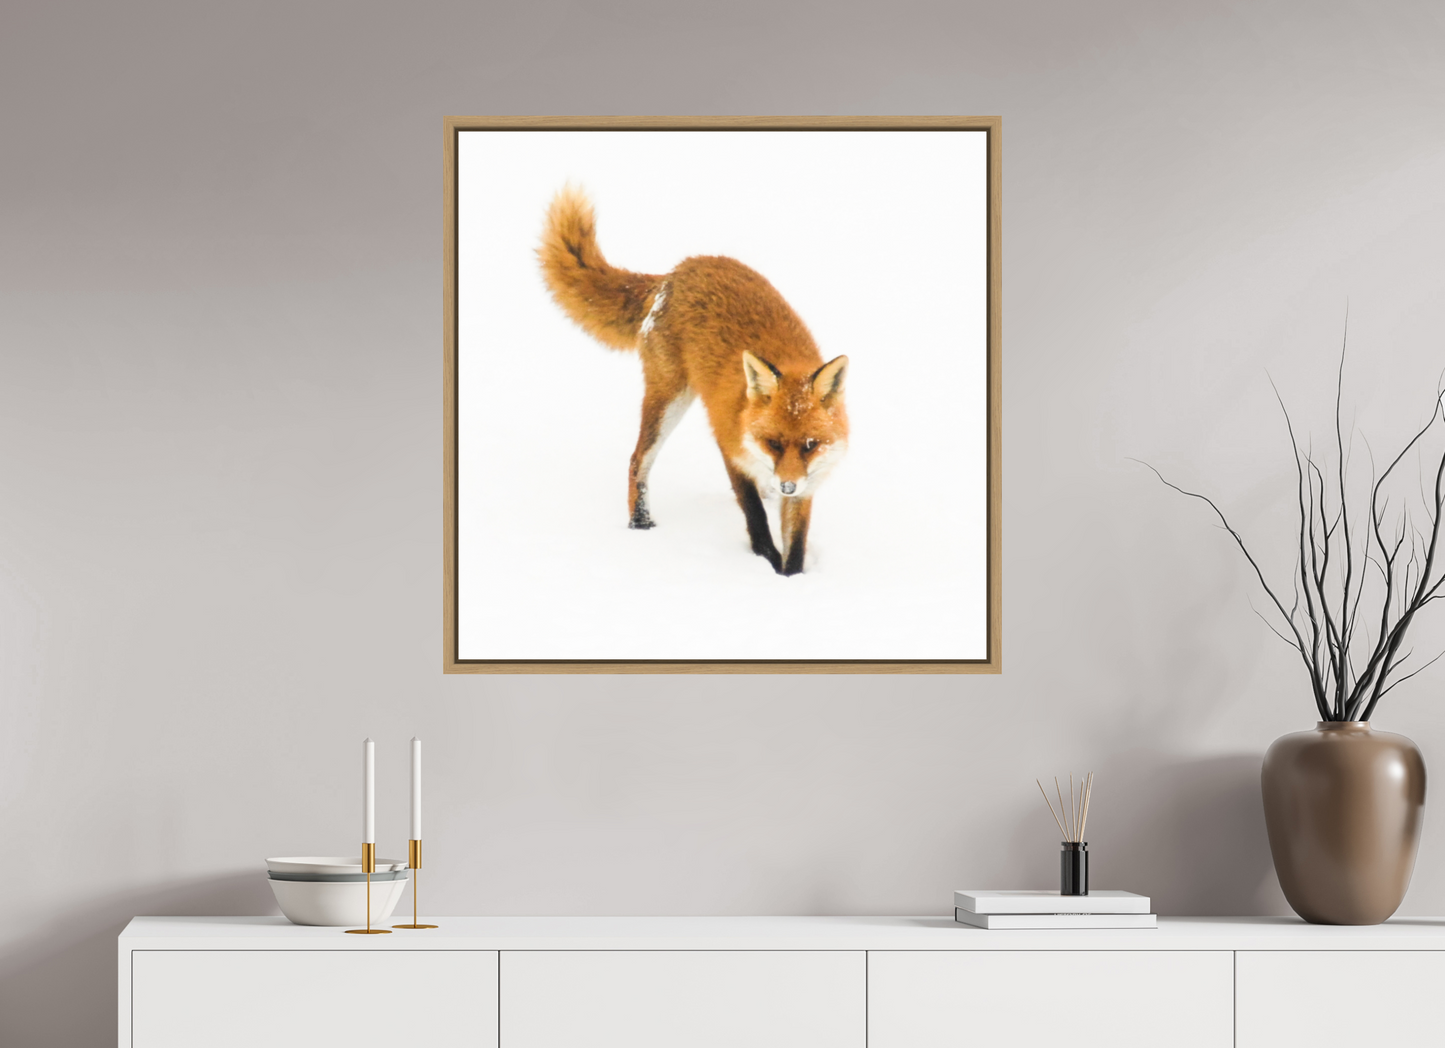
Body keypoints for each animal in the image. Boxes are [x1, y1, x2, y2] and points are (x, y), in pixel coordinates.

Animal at [537, 186, 849, 576]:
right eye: (773, 443)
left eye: (810, 444)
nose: (787, 485)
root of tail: (676, 272)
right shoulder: (729, 447)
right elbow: (756, 518)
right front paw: (765, 562)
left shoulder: (808, 484)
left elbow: (797, 544)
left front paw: (790, 577)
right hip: (668, 401)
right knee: (637, 460)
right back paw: (640, 523)